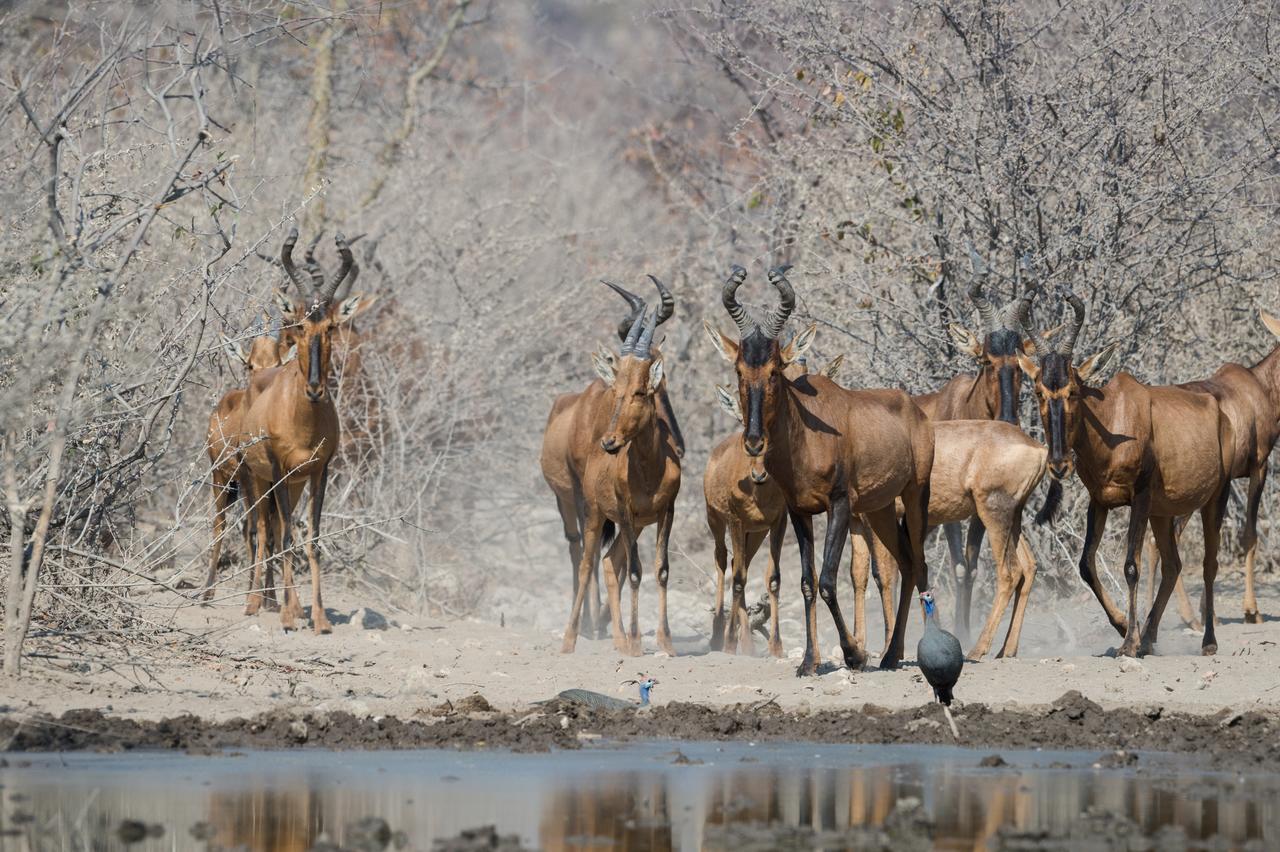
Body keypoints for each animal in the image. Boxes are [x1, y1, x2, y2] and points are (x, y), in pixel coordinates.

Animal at [202, 314, 290, 601]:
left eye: (277, 363)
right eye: (250, 365)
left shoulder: (274, 481)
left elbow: (273, 530)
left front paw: (270, 596)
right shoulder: (248, 476)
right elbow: (254, 529)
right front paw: (255, 591)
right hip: (222, 477)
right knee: (221, 525)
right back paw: (207, 590)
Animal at [238, 225, 373, 629]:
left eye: (331, 326)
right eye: (299, 324)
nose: (315, 389)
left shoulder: (319, 472)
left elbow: (310, 539)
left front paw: (319, 618)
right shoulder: (280, 470)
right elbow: (283, 539)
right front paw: (286, 616)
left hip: (292, 484)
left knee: (277, 527)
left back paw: (281, 603)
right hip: (256, 477)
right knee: (261, 530)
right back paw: (256, 602)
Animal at [537, 278, 680, 637]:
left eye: (659, 372)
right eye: (617, 383)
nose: (675, 437)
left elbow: (627, 561)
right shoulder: (586, 494)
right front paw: (595, 623)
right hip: (567, 498)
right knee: (576, 546)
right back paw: (586, 623)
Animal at [716, 266, 936, 670]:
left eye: (775, 369)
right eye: (739, 369)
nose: (753, 442)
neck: (806, 433)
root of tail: (914, 409)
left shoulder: (839, 505)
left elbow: (830, 581)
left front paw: (854, 654)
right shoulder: (799, 512)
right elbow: (808, 581)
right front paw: (808, 662)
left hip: (915, 495)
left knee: (921, 562)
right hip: (880, 509)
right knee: (907, 563)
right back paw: (890, 655)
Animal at [1013, 289, 1233, 652]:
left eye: (1074, 390)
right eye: (1039, 391)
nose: (1059, 464)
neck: (1114, 415)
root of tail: (1218, 409)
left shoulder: (1139, 498)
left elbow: (1131, 566)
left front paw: (1128, 643)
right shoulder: (1099, 502)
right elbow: (1086, 565)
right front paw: (1124, 628)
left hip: (1215, 498)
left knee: (1208, 564)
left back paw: (1208, 642)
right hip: (1162, 511)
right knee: (1172, 564)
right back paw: (1150, 637)